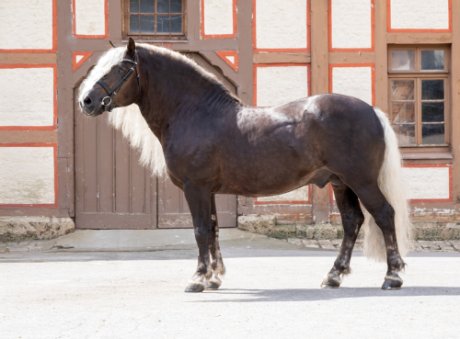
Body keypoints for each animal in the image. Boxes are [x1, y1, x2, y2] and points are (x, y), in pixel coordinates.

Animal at [77, 37, 412, 292]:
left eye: (120, 68)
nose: (86, 101)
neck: (196, 113)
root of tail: (372, 111)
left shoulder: (195, 188)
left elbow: (200, 230)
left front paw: (198, 279)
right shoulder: (208, 191)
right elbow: (213, 229)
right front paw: (214, 277)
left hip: (362, 181)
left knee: (384, 215)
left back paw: (392, 276)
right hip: (341, 183)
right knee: (352, 222)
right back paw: (333, 276)